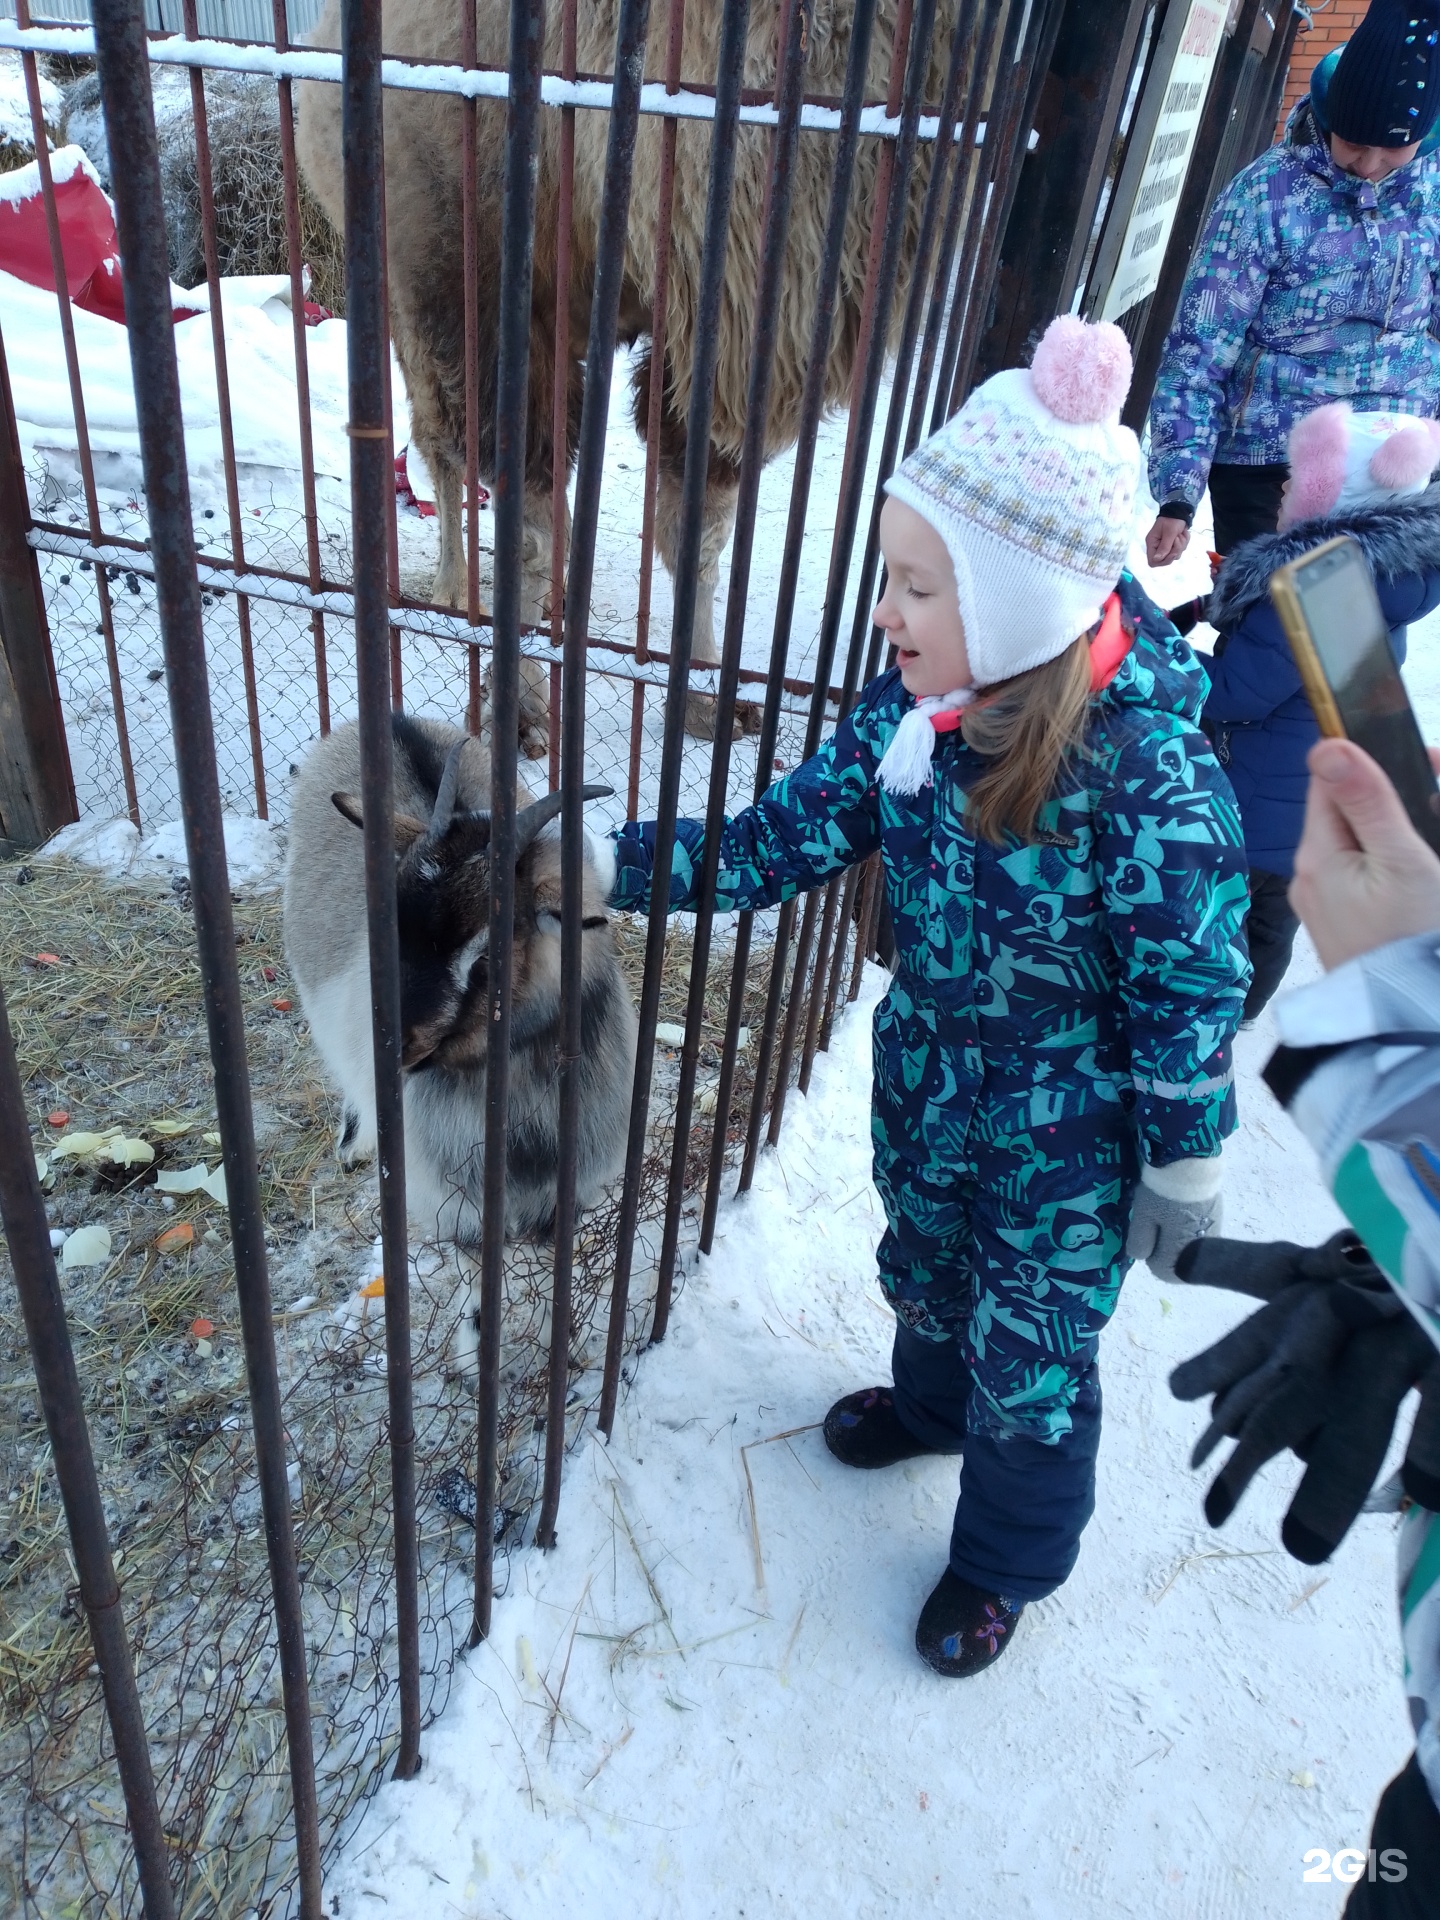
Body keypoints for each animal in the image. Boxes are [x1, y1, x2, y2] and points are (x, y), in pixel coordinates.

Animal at [293, 0, 963, 741]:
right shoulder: (473, 289)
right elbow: (526, 521)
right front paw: (519, 706)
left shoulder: (715, 339)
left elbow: (697, 529)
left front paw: (705, 698)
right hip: (408, 289)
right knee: (441, 447)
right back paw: (452, 587)